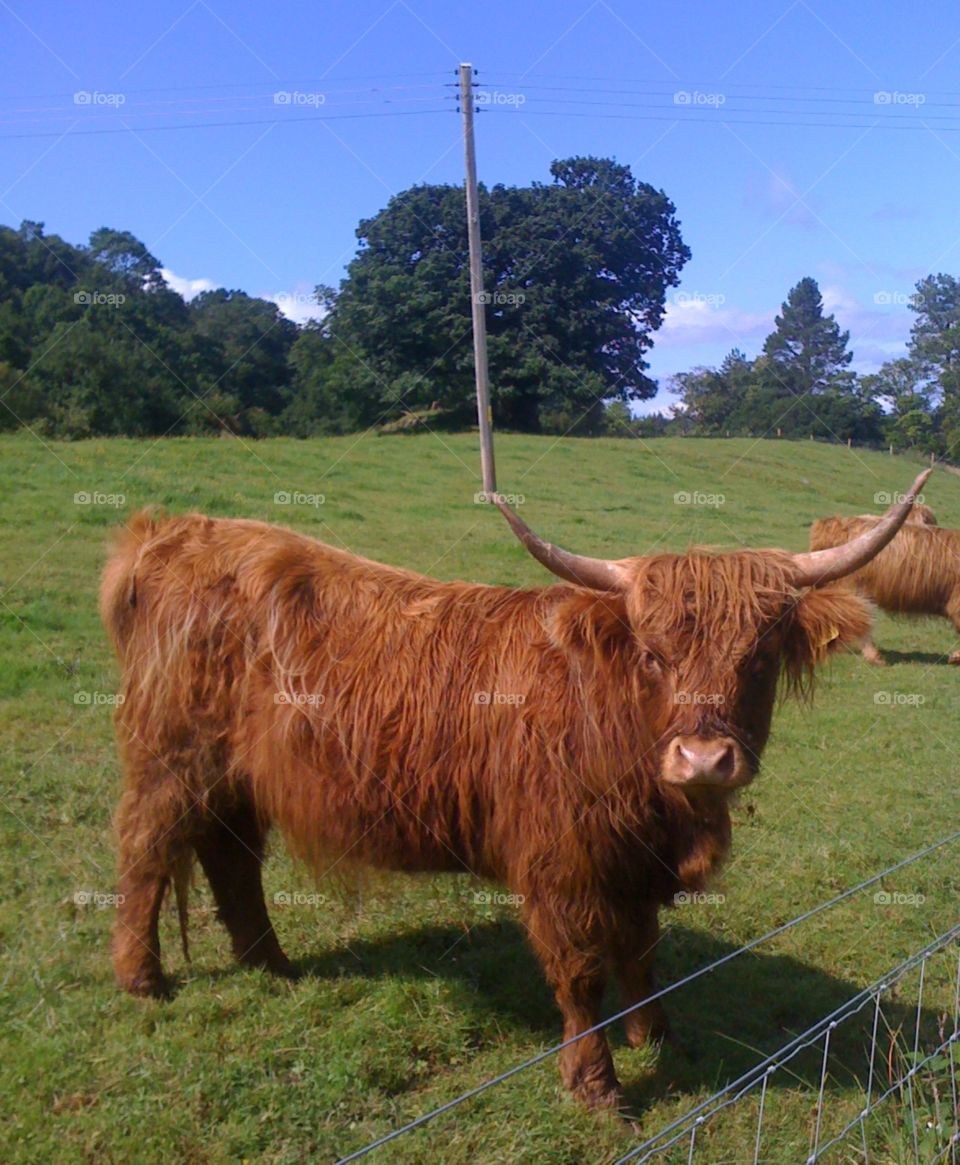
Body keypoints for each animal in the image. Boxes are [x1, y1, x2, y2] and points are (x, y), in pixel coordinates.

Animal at [100, 471, 927, 1109]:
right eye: (654, 655)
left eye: (758, 657)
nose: (702, 758)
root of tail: (173, 530)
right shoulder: (563, 865)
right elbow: (582, 972)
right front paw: (597, 1085)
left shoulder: (635, 864)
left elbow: (642, 953)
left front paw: (656, 1035)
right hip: (171, 757)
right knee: (145, 849)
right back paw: (142, 978)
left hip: (232, 777)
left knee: (229, 856)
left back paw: (270, 963)